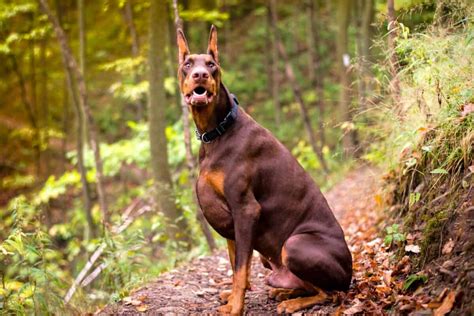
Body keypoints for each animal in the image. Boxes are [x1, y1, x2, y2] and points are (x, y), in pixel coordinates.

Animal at [177, 25, 352, 314]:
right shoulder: (230, 219)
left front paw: (235, 307)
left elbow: (239, 268)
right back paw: (283, 291)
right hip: (269, 260)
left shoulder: (245, 209)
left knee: (329, 293)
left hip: (294, 244)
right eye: (187, 64)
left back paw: (293, 302)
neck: (218, 132)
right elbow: (235, 263)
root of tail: (350, 275)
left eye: (212, 65)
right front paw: (233, 297)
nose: (200, 74)